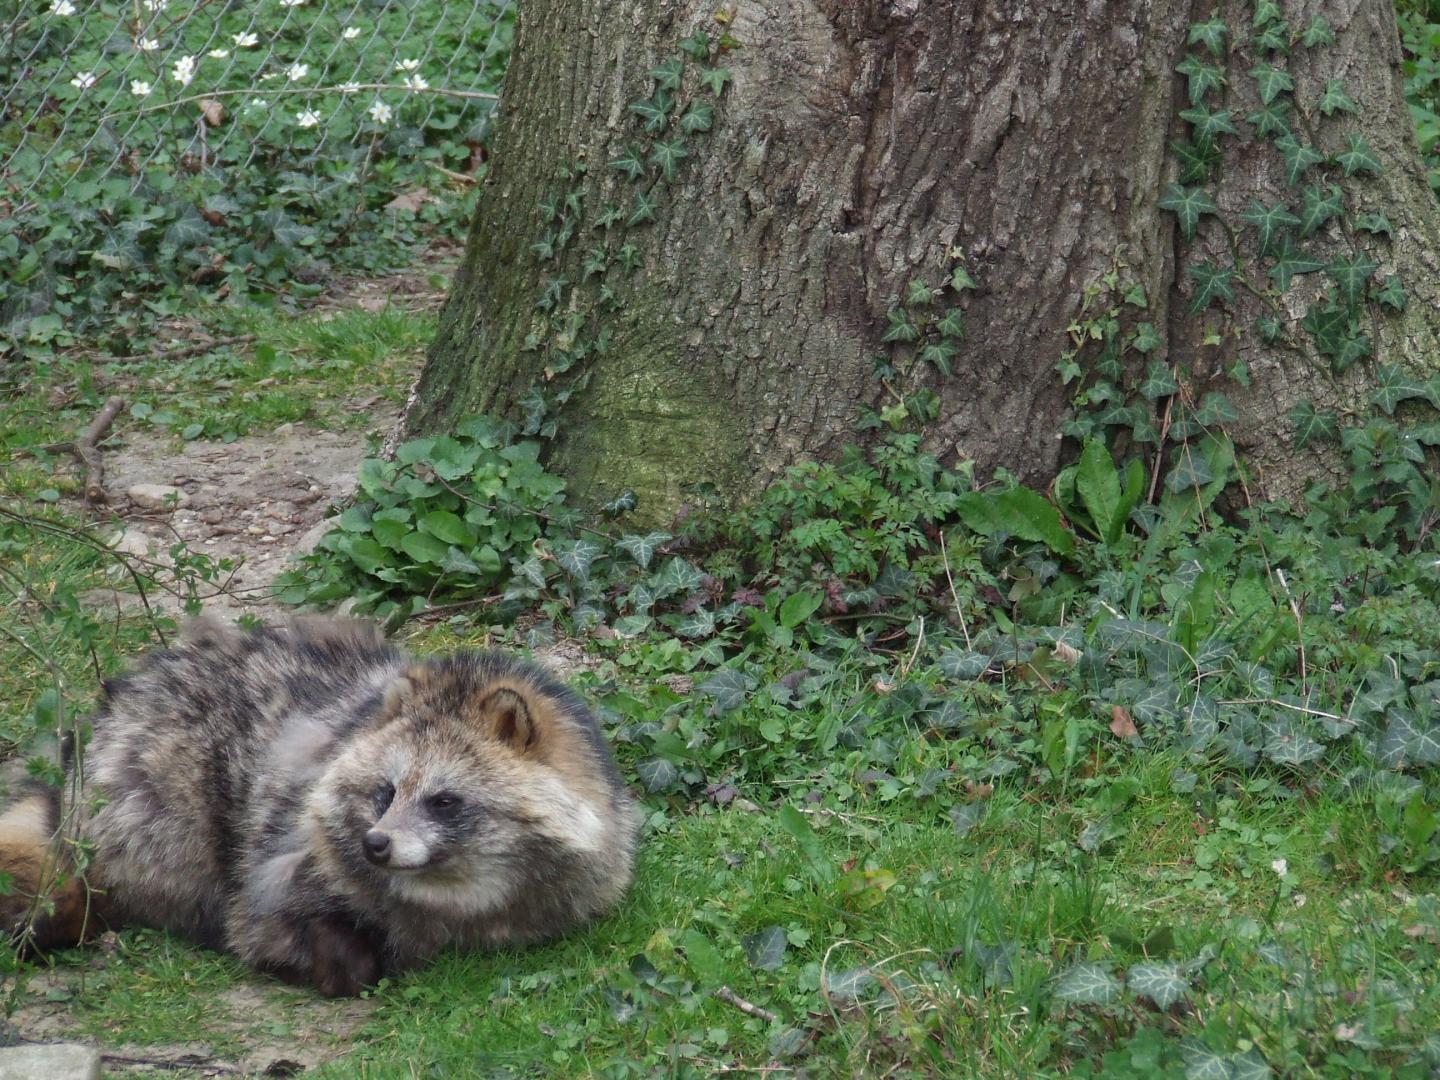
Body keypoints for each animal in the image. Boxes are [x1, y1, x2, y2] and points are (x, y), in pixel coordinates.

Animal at [0, 616, 642, 996]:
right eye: (386, 792)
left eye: (444, 800)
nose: (375, 844)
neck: (457, 892)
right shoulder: (281, 863)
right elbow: (262, 927)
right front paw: (345, 960)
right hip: (152, 800)